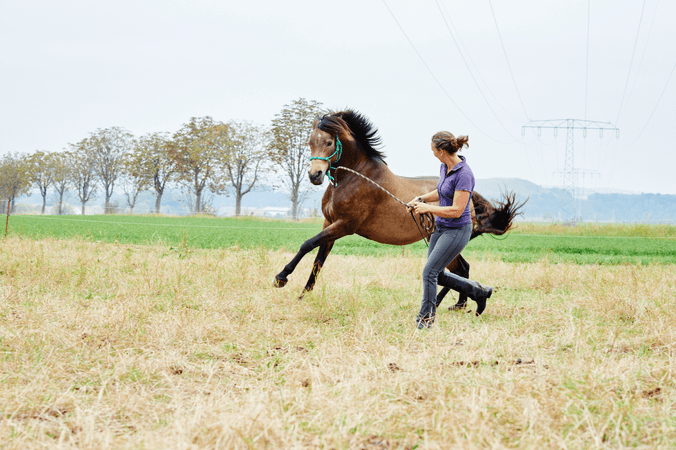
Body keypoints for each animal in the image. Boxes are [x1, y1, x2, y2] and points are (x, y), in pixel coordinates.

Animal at [273, 109, 525, 315]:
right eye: (310, 142)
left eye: (328, 142)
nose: (314, 175)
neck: (354, 178)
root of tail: (472, 201)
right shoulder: (330, 224)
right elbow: (318, 261)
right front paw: (303, 295)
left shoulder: (345, 225)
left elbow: (307, 244)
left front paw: (281, 278)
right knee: (458, 270)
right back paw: (456, 304)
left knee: (457, 270)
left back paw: (448, 304)